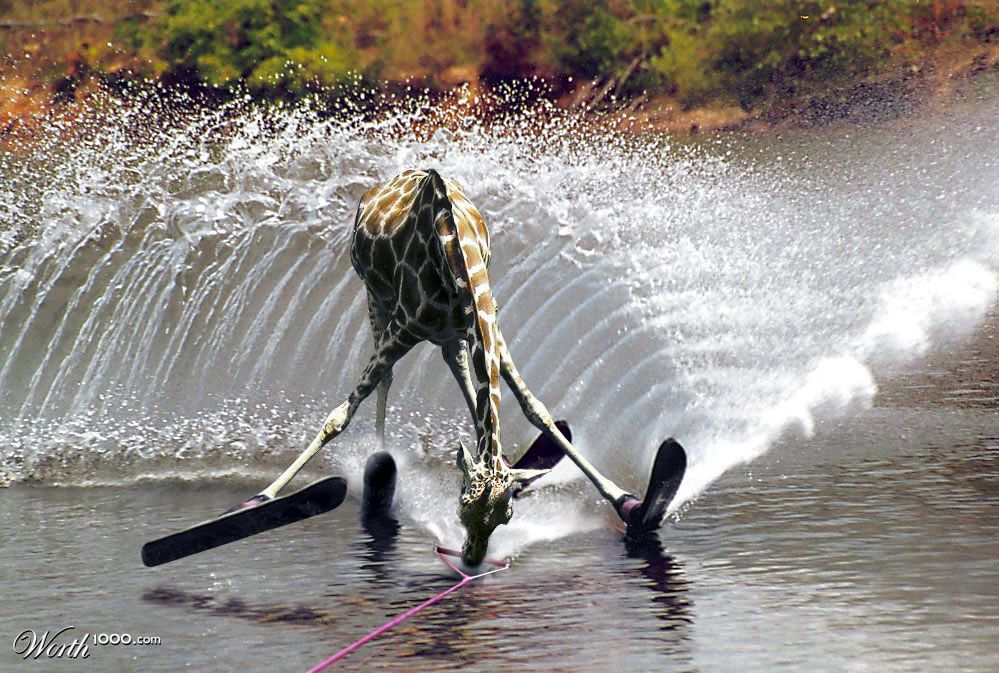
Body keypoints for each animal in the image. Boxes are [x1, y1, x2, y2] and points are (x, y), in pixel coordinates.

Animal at [243, 168, 646, 566]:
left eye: (504, 516)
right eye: (462, 507)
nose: (472, 558)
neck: (455, 255)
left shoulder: (489, 327)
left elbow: (535, 409)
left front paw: (627, 501)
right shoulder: (405, 326)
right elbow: (340, 414)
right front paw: (261, 498)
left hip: (447, 334)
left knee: (459, 371)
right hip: (377, 297)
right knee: (387, 377)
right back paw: (378, 461)